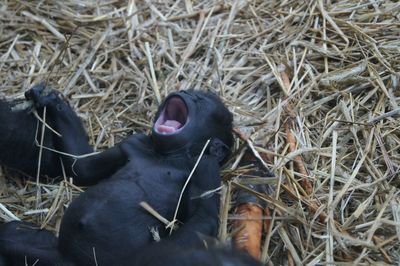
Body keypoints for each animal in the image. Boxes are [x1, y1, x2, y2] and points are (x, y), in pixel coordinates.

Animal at [0, 84, 234, 264]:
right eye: (192, 93)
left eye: (200, 100)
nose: (185, 92)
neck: (167, 155)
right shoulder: (132, 142)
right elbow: (81, 165)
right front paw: (49, 99)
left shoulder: (205, 166)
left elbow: (204, 218)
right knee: (12, 235)